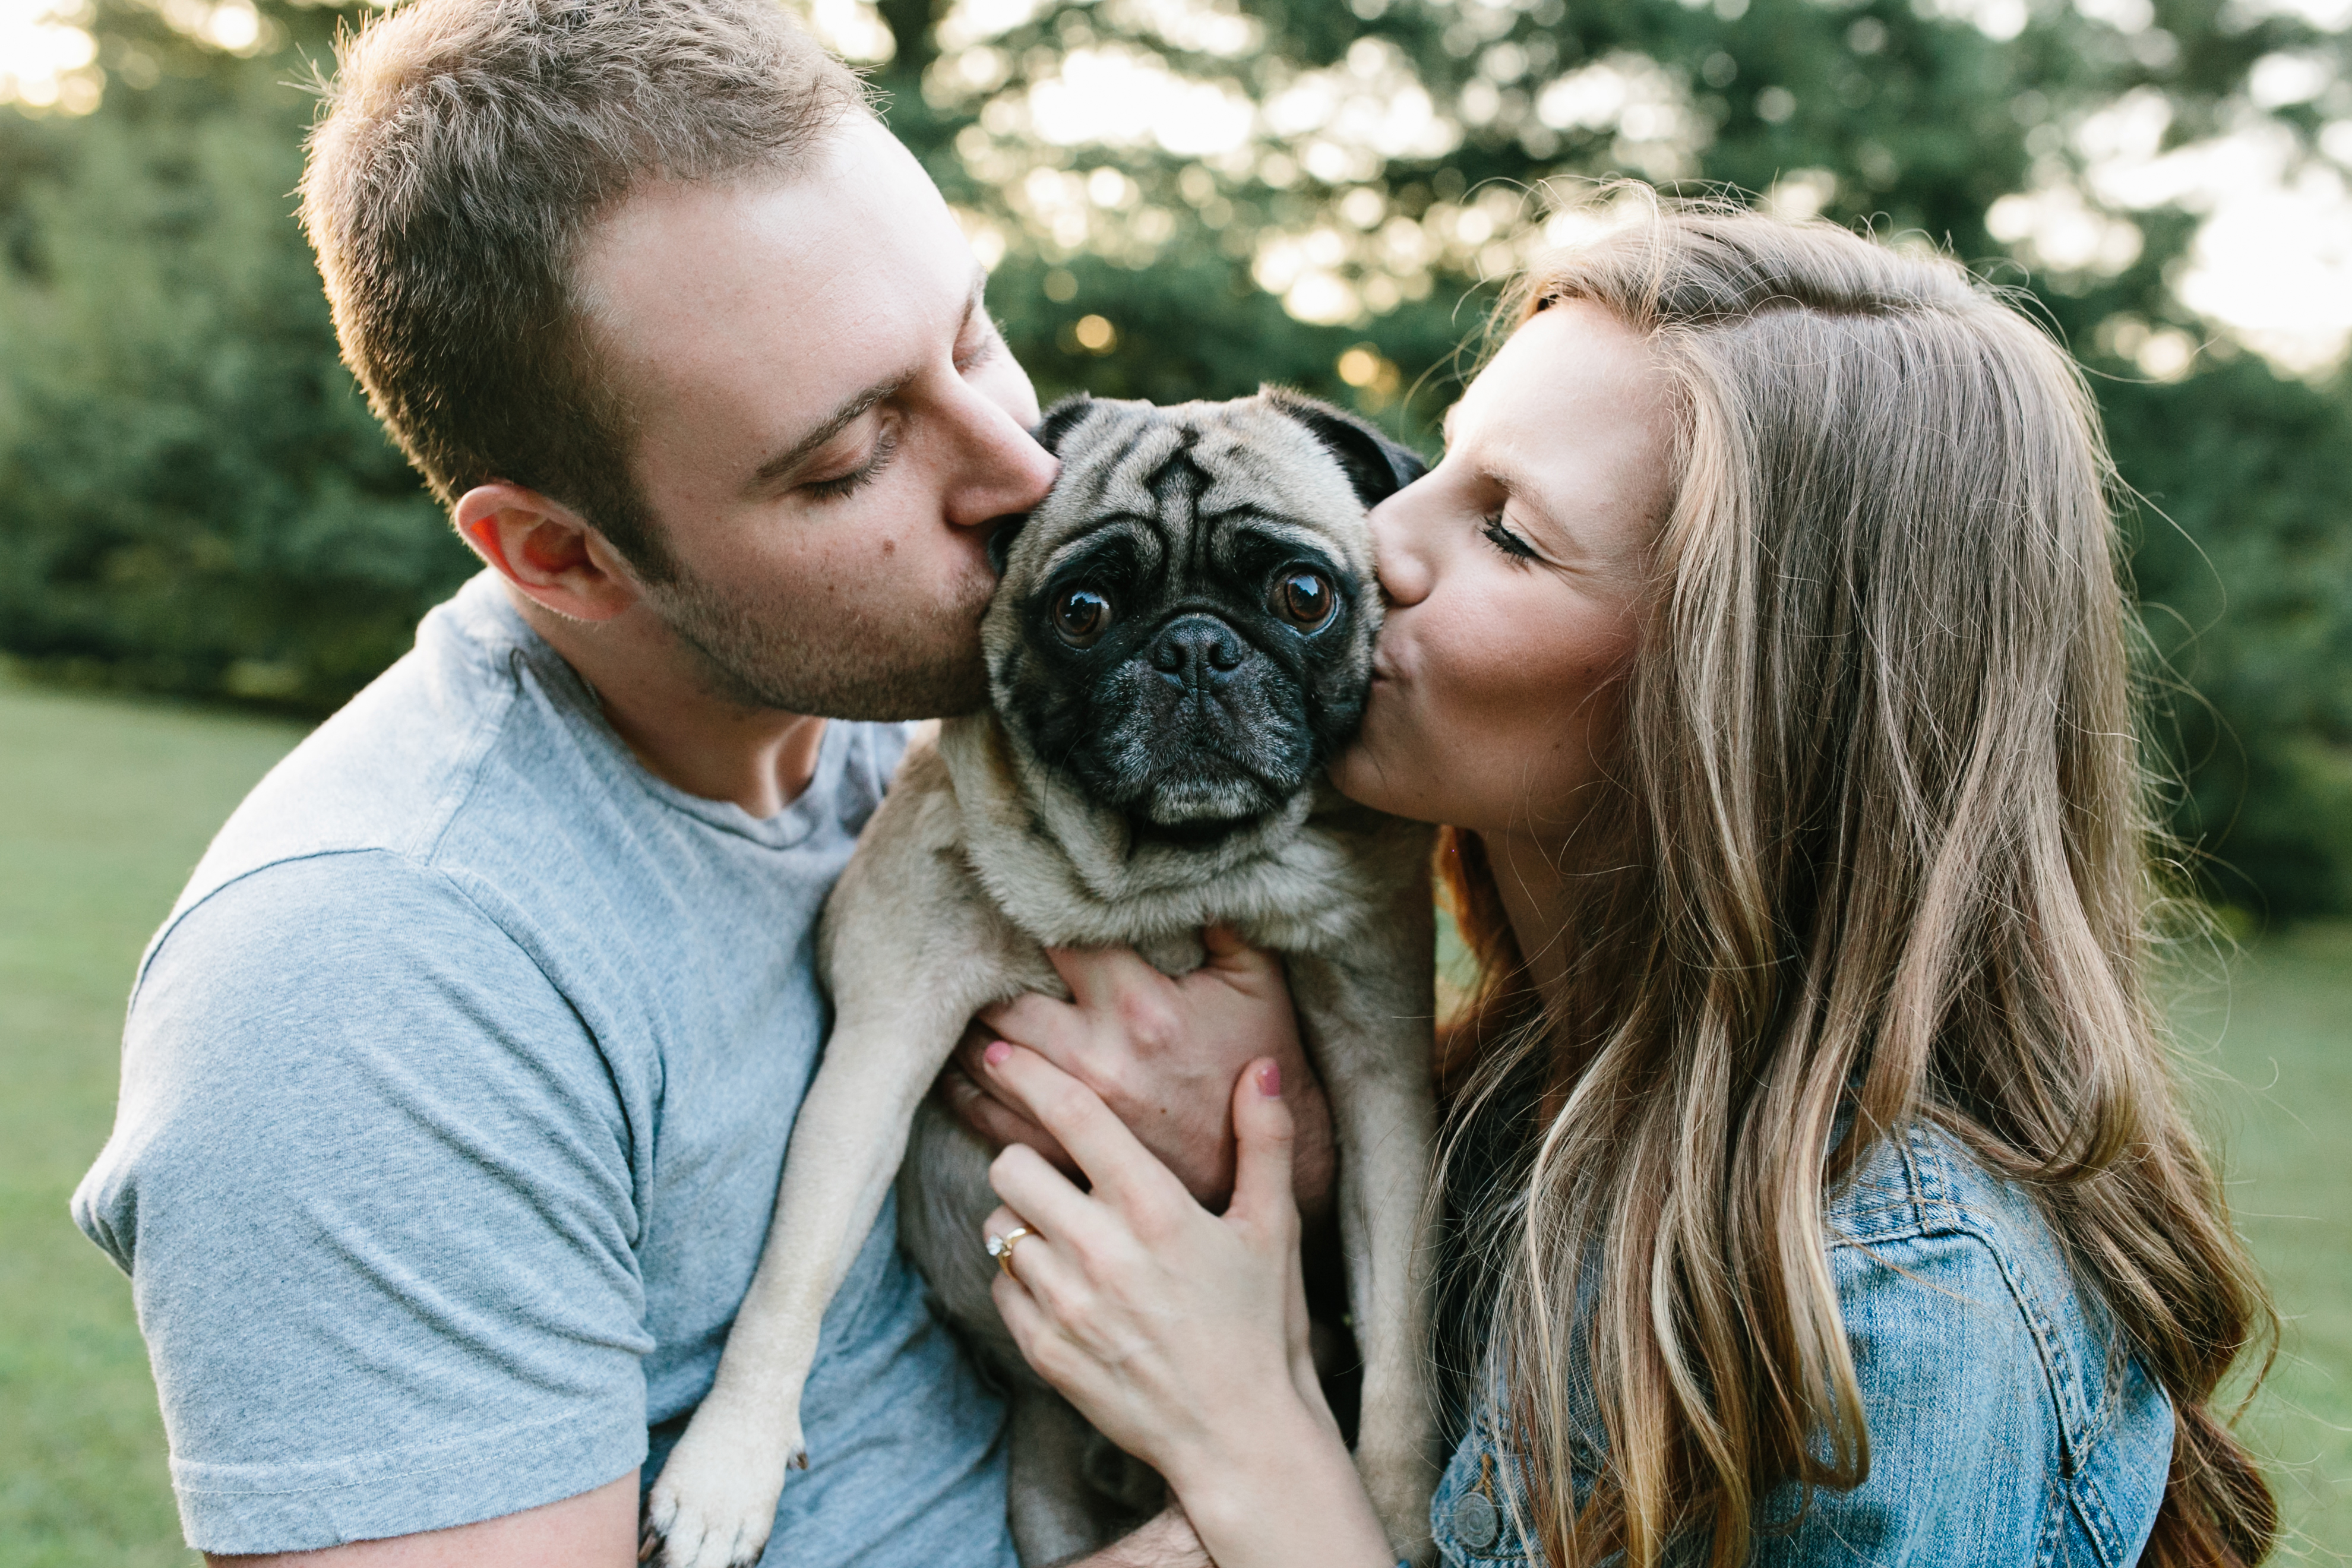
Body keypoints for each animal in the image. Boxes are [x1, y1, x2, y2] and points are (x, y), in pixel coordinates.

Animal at [653, 390, 1439, 1568]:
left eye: (1303, 595)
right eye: (1082, 610)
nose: (1194, 646)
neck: (1168, 882)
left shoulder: (1381, 1071)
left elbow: (1401, 1330)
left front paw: (1392, 1508)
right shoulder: (882, 1046)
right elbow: (795, 1268)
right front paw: (726, 1468)